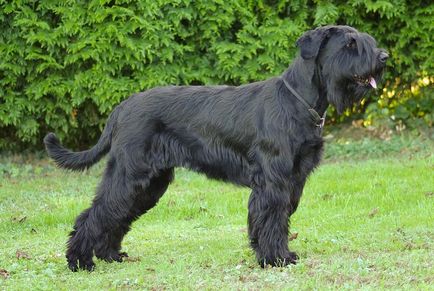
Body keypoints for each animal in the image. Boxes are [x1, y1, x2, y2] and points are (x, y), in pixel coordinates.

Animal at [44, 25, 388, 272]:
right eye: (350, 45)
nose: (383, 57)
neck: (299, 101)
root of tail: (122, 107)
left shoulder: (294, 180)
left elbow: (273, 219)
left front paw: (266, 254)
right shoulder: (274, 181)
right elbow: (273, 218)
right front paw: (277, 259)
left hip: (150, 185)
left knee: (117, 214)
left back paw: (110, 255)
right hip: (131, 175)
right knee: (96, 212)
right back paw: (79, 261)